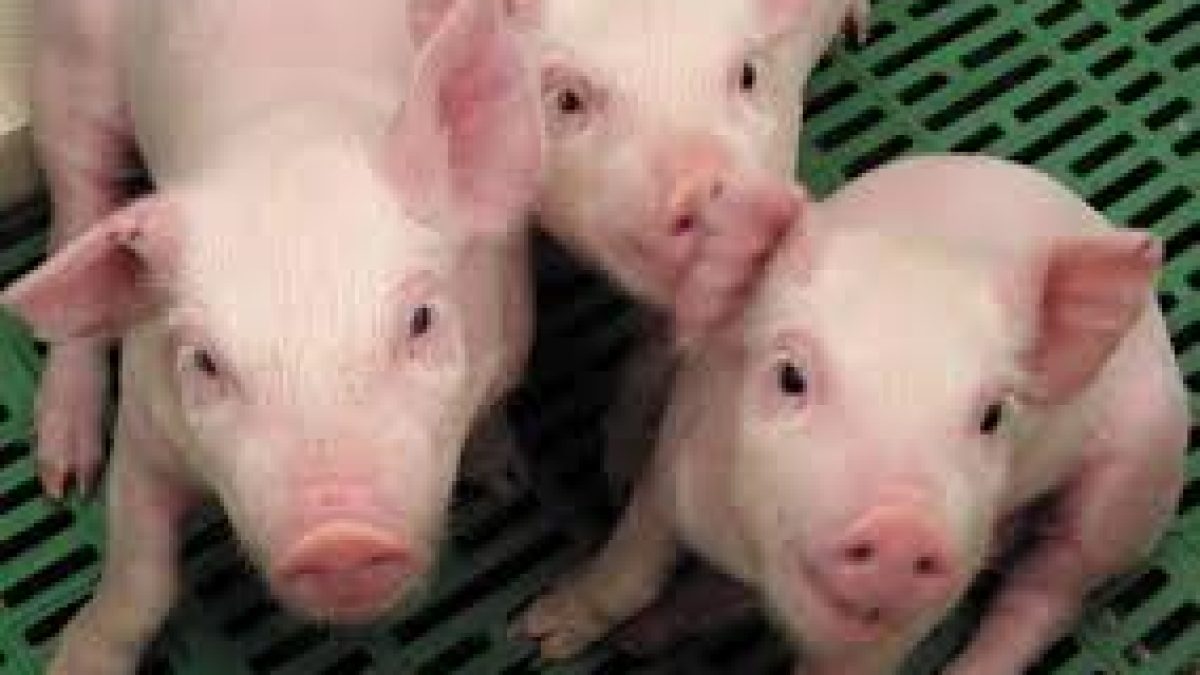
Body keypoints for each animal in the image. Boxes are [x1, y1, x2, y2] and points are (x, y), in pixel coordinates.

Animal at [5, 0, 541, 672]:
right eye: (205, 361)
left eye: (421, 318)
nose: (338, 539)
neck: (288, 139)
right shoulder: (144, 424)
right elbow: (139, 577)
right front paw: (73, 661)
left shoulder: (511, 332)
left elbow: (491, 412)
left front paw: (506, 484)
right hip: (71, 62)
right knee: (76, 205)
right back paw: (62, 478)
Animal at [518, 155, 1188, 675]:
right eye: (791, 376)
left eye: (993, 415)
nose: (902, 526)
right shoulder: (673, 455)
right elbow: (629, 565)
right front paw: (541, 635)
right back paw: (644, 640)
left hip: (1136, 482)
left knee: (1045, 593)